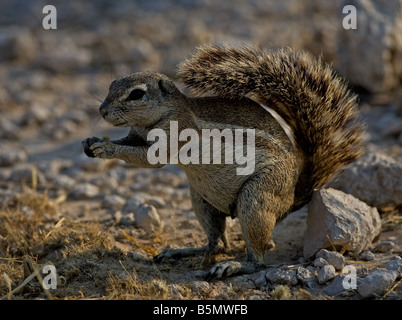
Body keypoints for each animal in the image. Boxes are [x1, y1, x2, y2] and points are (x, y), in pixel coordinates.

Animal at [81, 43, 364, 278]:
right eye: (112, 84)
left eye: (137, 94)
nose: (102, 111)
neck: (162, 115)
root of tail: (291, 198)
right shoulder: (136, 135)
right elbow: (128, 143)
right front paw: (91, 141)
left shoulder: (171, 137)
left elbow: (147, 159)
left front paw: (105, 147)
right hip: (202, 200)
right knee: (217, 243)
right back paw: (183, 251)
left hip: (256, 197)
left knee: (257, 260)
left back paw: (233, 266)